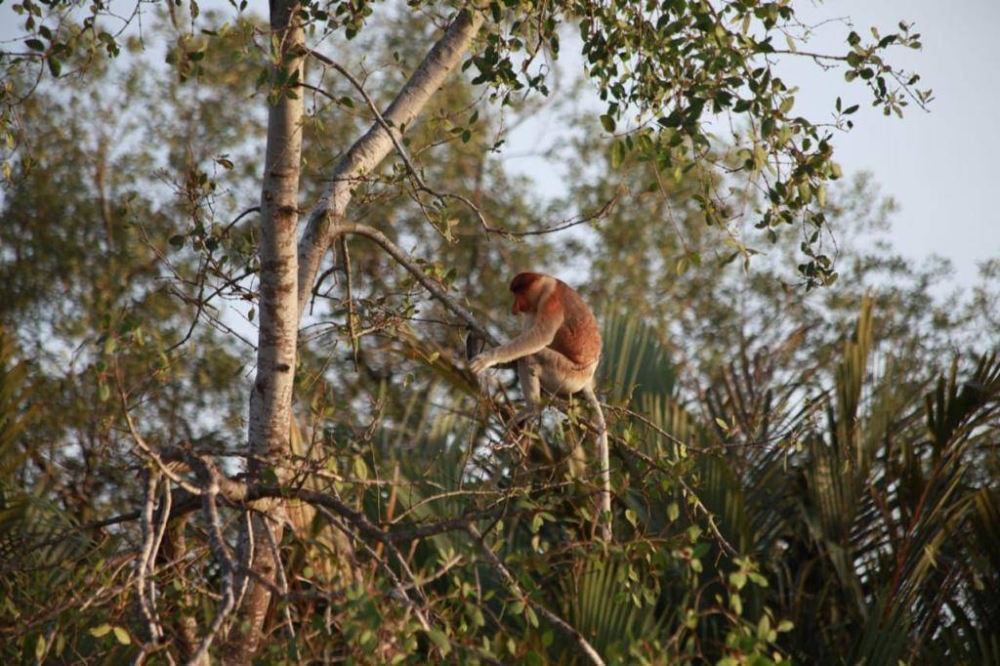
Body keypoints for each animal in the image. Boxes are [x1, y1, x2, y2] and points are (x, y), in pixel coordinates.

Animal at [466, 272, 612, 536]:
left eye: (519, 293)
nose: (514, 309)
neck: (547, 283)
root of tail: (587, 380)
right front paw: (477, 342)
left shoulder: (550, 303)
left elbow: (538, 338)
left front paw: (488, 357)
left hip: (565, 373)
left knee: (532, 356)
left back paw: (531, 408)